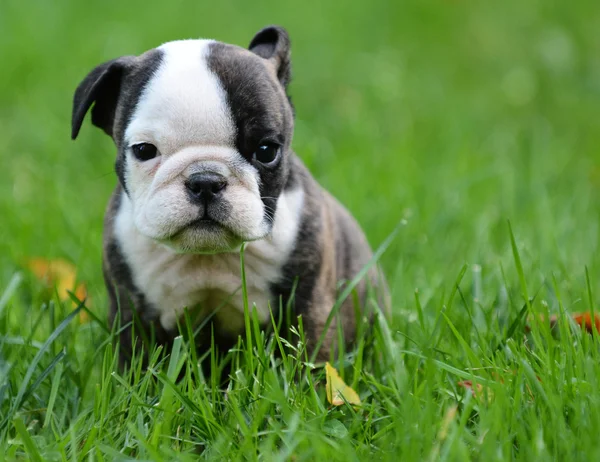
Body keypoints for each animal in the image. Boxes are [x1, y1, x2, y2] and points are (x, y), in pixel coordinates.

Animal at [71, 25, 390, 370]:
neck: (209, 256)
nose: (206, 181)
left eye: (266, 151)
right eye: (144, 150)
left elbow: (308, 357)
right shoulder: (133, 313)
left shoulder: (308, 305)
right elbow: (138, 364)